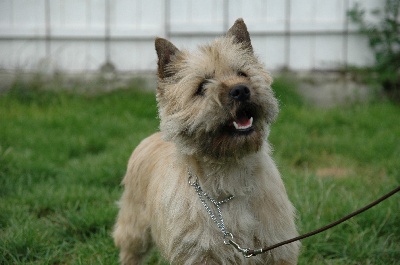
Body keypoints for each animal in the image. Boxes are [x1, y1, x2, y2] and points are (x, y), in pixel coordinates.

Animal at [112, 17, 300, 262]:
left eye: (243, 74)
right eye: (201, 86)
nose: (241, 90)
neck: (228, 179)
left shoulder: (276, 247)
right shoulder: (198, 253)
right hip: (135, 227)